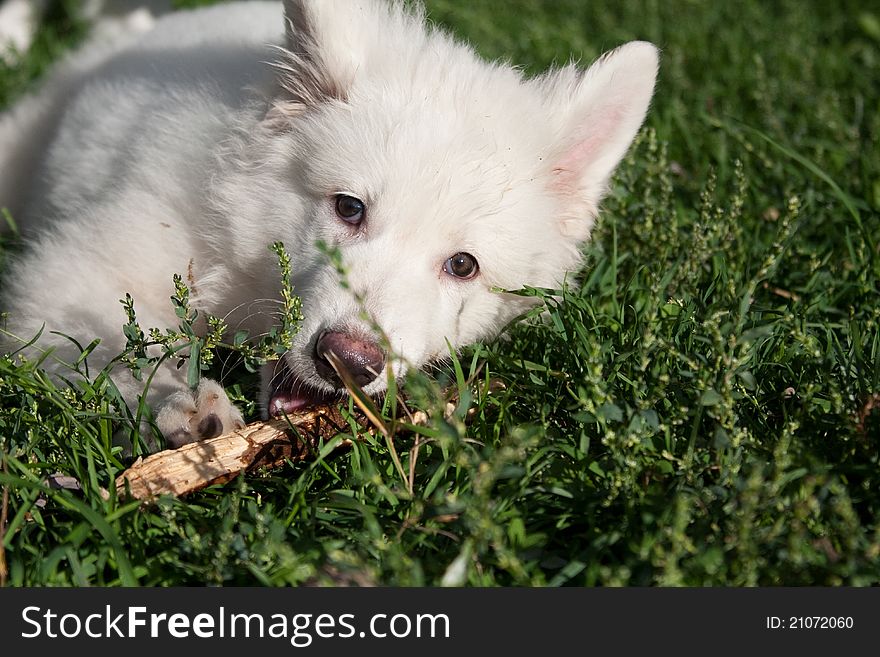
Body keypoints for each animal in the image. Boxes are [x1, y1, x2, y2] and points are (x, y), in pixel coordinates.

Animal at [0, 0, 656, 446]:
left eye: (462, 265)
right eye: (349, 207)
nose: (348, 362)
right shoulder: (79, 271)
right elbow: (119, 343)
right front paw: (182, 401)